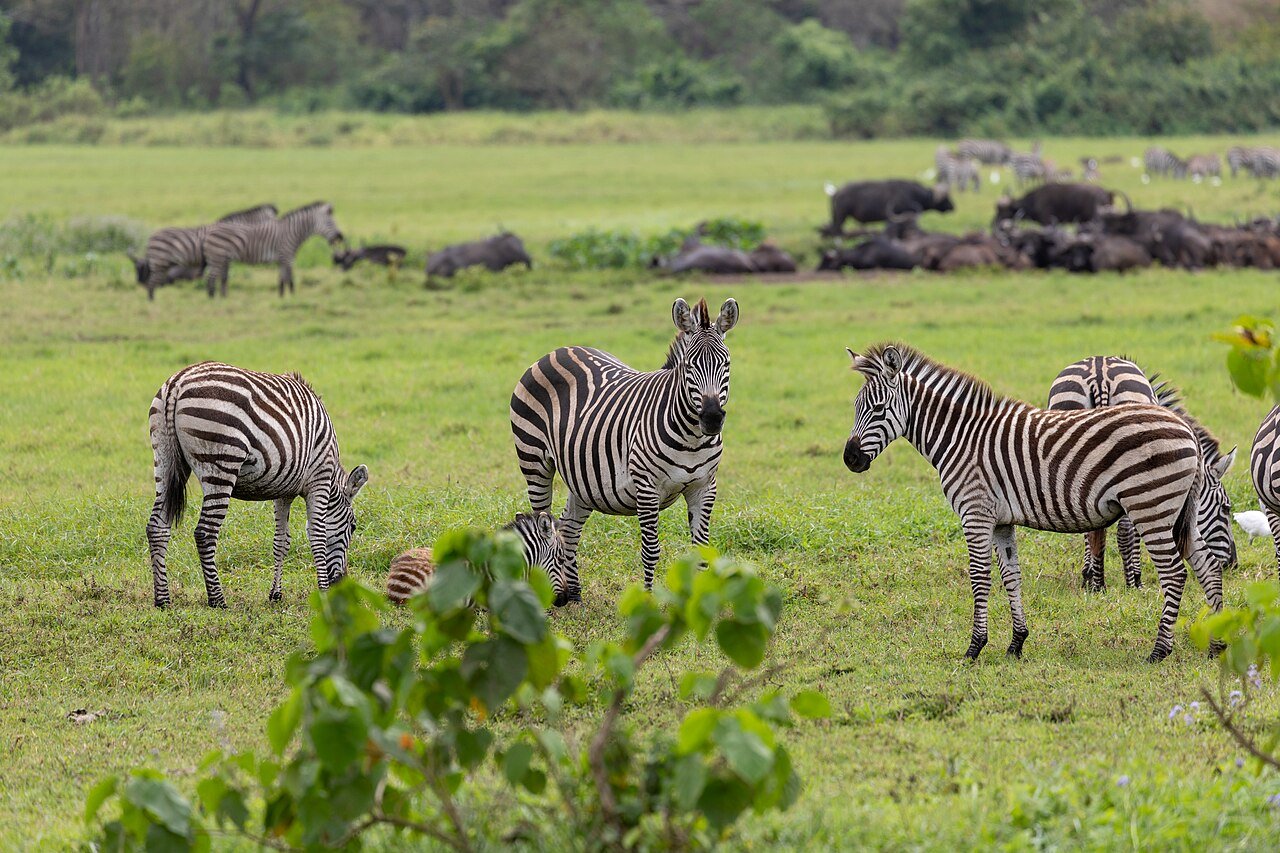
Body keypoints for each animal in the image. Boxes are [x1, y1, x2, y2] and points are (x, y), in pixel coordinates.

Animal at [136, 204, 278, 300]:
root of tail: (151, 237)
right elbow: (222, 277)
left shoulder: (225, 260)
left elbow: (224, 278)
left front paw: (223, 296)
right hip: (161, 261)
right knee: (154, 281)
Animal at [146, 361, 368, 608]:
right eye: (353, 526)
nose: (342, 582)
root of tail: (178, 382)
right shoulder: (319, 479)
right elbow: (318, 536)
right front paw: (324, 594)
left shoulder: (284, 490)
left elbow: (281, 541)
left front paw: (276, 595)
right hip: (221, 463)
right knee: (205, 533)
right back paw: (217, 600)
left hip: (164, 458)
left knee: (157, 527)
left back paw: (162, 599)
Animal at [202, 201, 344, 298]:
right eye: (330, 223)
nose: (341, 237)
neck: (292, 232)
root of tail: (211, 229)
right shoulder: (287, 258)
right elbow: (290, 280)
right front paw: (293, 299)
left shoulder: (281, 260)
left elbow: (281, 281)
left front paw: (282, 298)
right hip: (217, 257)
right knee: (210, 279)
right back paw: (213, 301)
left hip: (222, 258)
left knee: (217, 279)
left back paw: (221, 299)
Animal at [510, 297, 738, 603]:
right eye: (690, 366)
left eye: (726, 363)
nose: (712, 418)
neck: (691, 438)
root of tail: (559, 350)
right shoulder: (647, 488)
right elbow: (651, 551)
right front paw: (648, 601)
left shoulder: (704, 487)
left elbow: (701, 552)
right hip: (534, 461)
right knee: (542, 526)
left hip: (583, 477)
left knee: (568, 529)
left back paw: (575, 595)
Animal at [1047, 356, 1237, 591]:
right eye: (1226, 508)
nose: (1233, 563)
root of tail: (1099, 371)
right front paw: (1135, 577)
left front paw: (1087, 576)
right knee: (1126, 528)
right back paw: (1130, 582)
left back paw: (1096, 582)